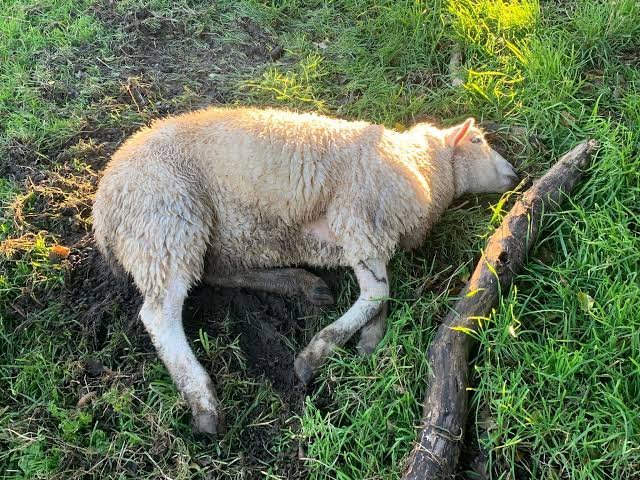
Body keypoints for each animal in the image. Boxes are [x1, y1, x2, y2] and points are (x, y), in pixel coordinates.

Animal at [92, 106, 518, 434]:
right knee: (159, 315)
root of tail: (102, 208)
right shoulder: (357, 221)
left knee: (216, 273)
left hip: (207, 235)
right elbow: (377, 293)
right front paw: (318, 353)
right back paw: (203, 401)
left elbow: (379, 293)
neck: (422, 165)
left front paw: (369, 339)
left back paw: (300, 284)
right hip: (166, 221)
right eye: (477, 141)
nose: (515, 175)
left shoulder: (365, 238)